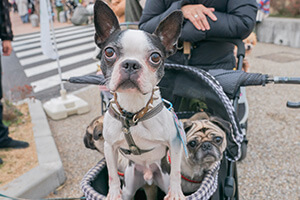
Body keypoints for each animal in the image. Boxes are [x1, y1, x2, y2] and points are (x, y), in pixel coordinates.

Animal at [92, 0, 184, 199]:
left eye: (155, 57)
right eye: (109, 52)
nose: (131, 64)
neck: (133, 111)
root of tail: (148, 177)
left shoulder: (175, 142)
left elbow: (176, 171)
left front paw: (177, 193)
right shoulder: (109, 147)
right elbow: (112, 173)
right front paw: (113, 193)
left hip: (162, 178)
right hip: (130, 184)